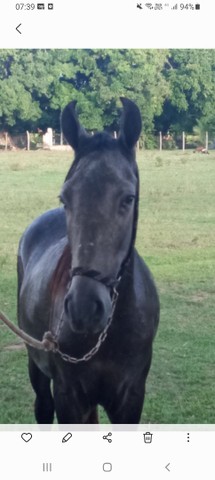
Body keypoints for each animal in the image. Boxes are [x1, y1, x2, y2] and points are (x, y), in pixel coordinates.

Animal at [17, 98, 160, 424]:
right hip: (36, 366)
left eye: (128, 198)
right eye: (65, 198)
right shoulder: (69, 398)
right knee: (42, 408)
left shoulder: (130, 399)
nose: (85, 308)